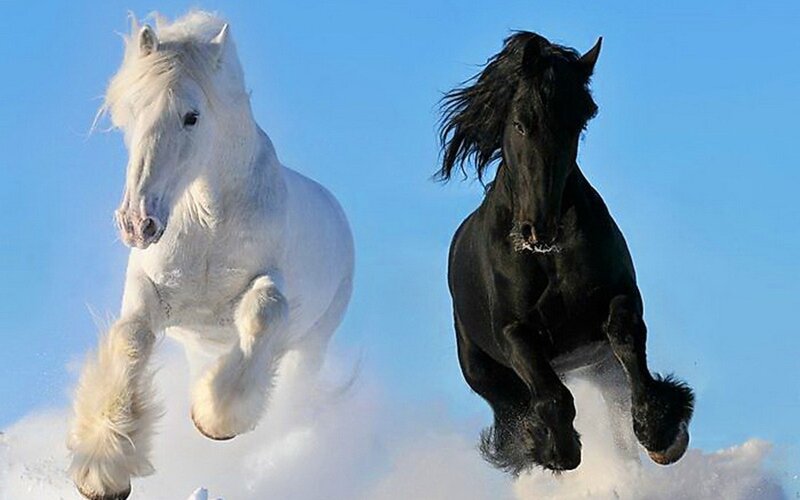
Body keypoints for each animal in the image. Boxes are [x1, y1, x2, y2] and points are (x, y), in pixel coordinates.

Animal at [67, 12, 354, 500]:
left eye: (191, 116)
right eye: (131, 112)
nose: (137, 222)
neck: (207, 223)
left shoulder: (267, 284)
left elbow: (263, 311)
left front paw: (215, 419)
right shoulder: (149, 294)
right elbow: (132, 339)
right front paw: (104, 470)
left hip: (313, 344)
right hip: (198, 346)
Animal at [438, 32, 694, 475]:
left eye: (577, 124)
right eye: (520, 123)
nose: (539, 229)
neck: (547, 257)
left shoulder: (619, 297)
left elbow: (627, 340)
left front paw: (661, 433)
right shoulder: (514, 332)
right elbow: (551, 395)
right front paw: (556, 448)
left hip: (598, 366)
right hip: (483, 371)